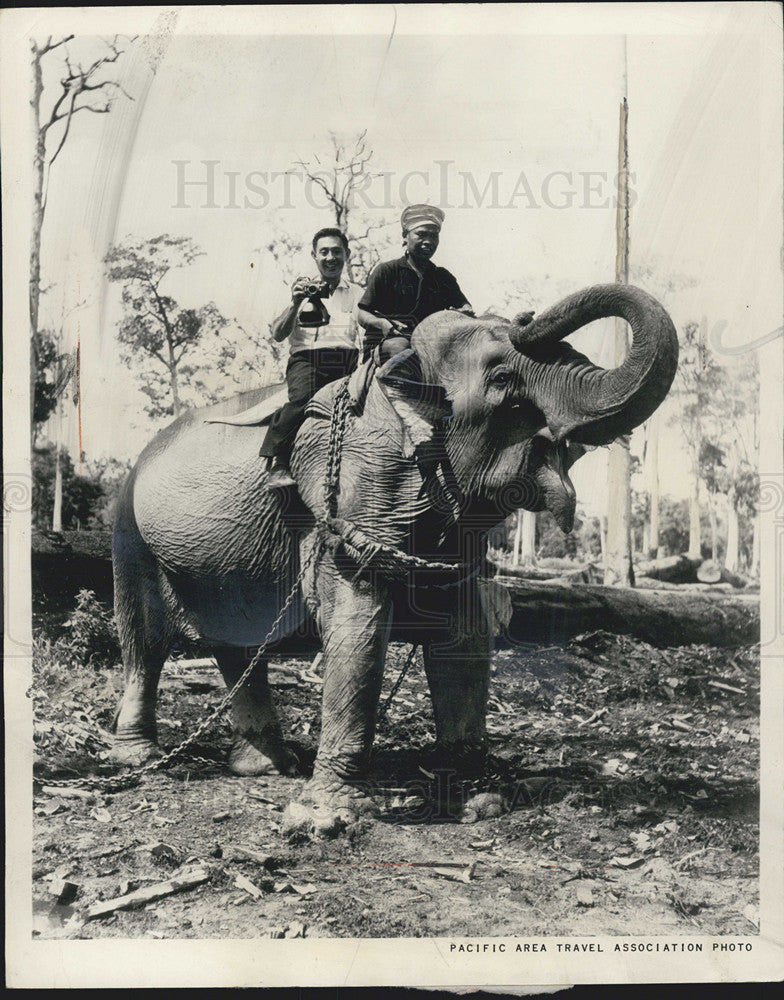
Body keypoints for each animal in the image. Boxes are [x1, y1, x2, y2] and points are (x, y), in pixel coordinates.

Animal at [112, 286, 680, 832]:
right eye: (502, 380)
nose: (524, 314)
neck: (400, 370)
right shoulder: (346, 494)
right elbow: (358, 624)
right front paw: (327, 818)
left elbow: (465, 636)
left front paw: (479, 798)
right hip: (129, 529)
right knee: (145, 638)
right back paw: (140, 757)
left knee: (237, 640)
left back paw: (265, 767)